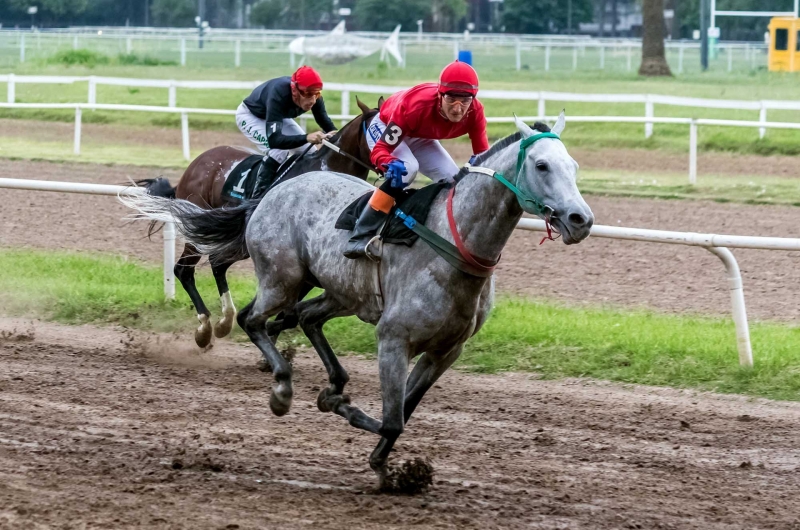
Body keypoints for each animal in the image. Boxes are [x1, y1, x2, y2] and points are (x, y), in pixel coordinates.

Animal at [137, 97, 382, 346]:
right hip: (204, 232)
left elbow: (290, 311)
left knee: (217, 264)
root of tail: (192, 168)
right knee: (185, 270)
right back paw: (206, 329)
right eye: (380, 132)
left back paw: (224, 321)